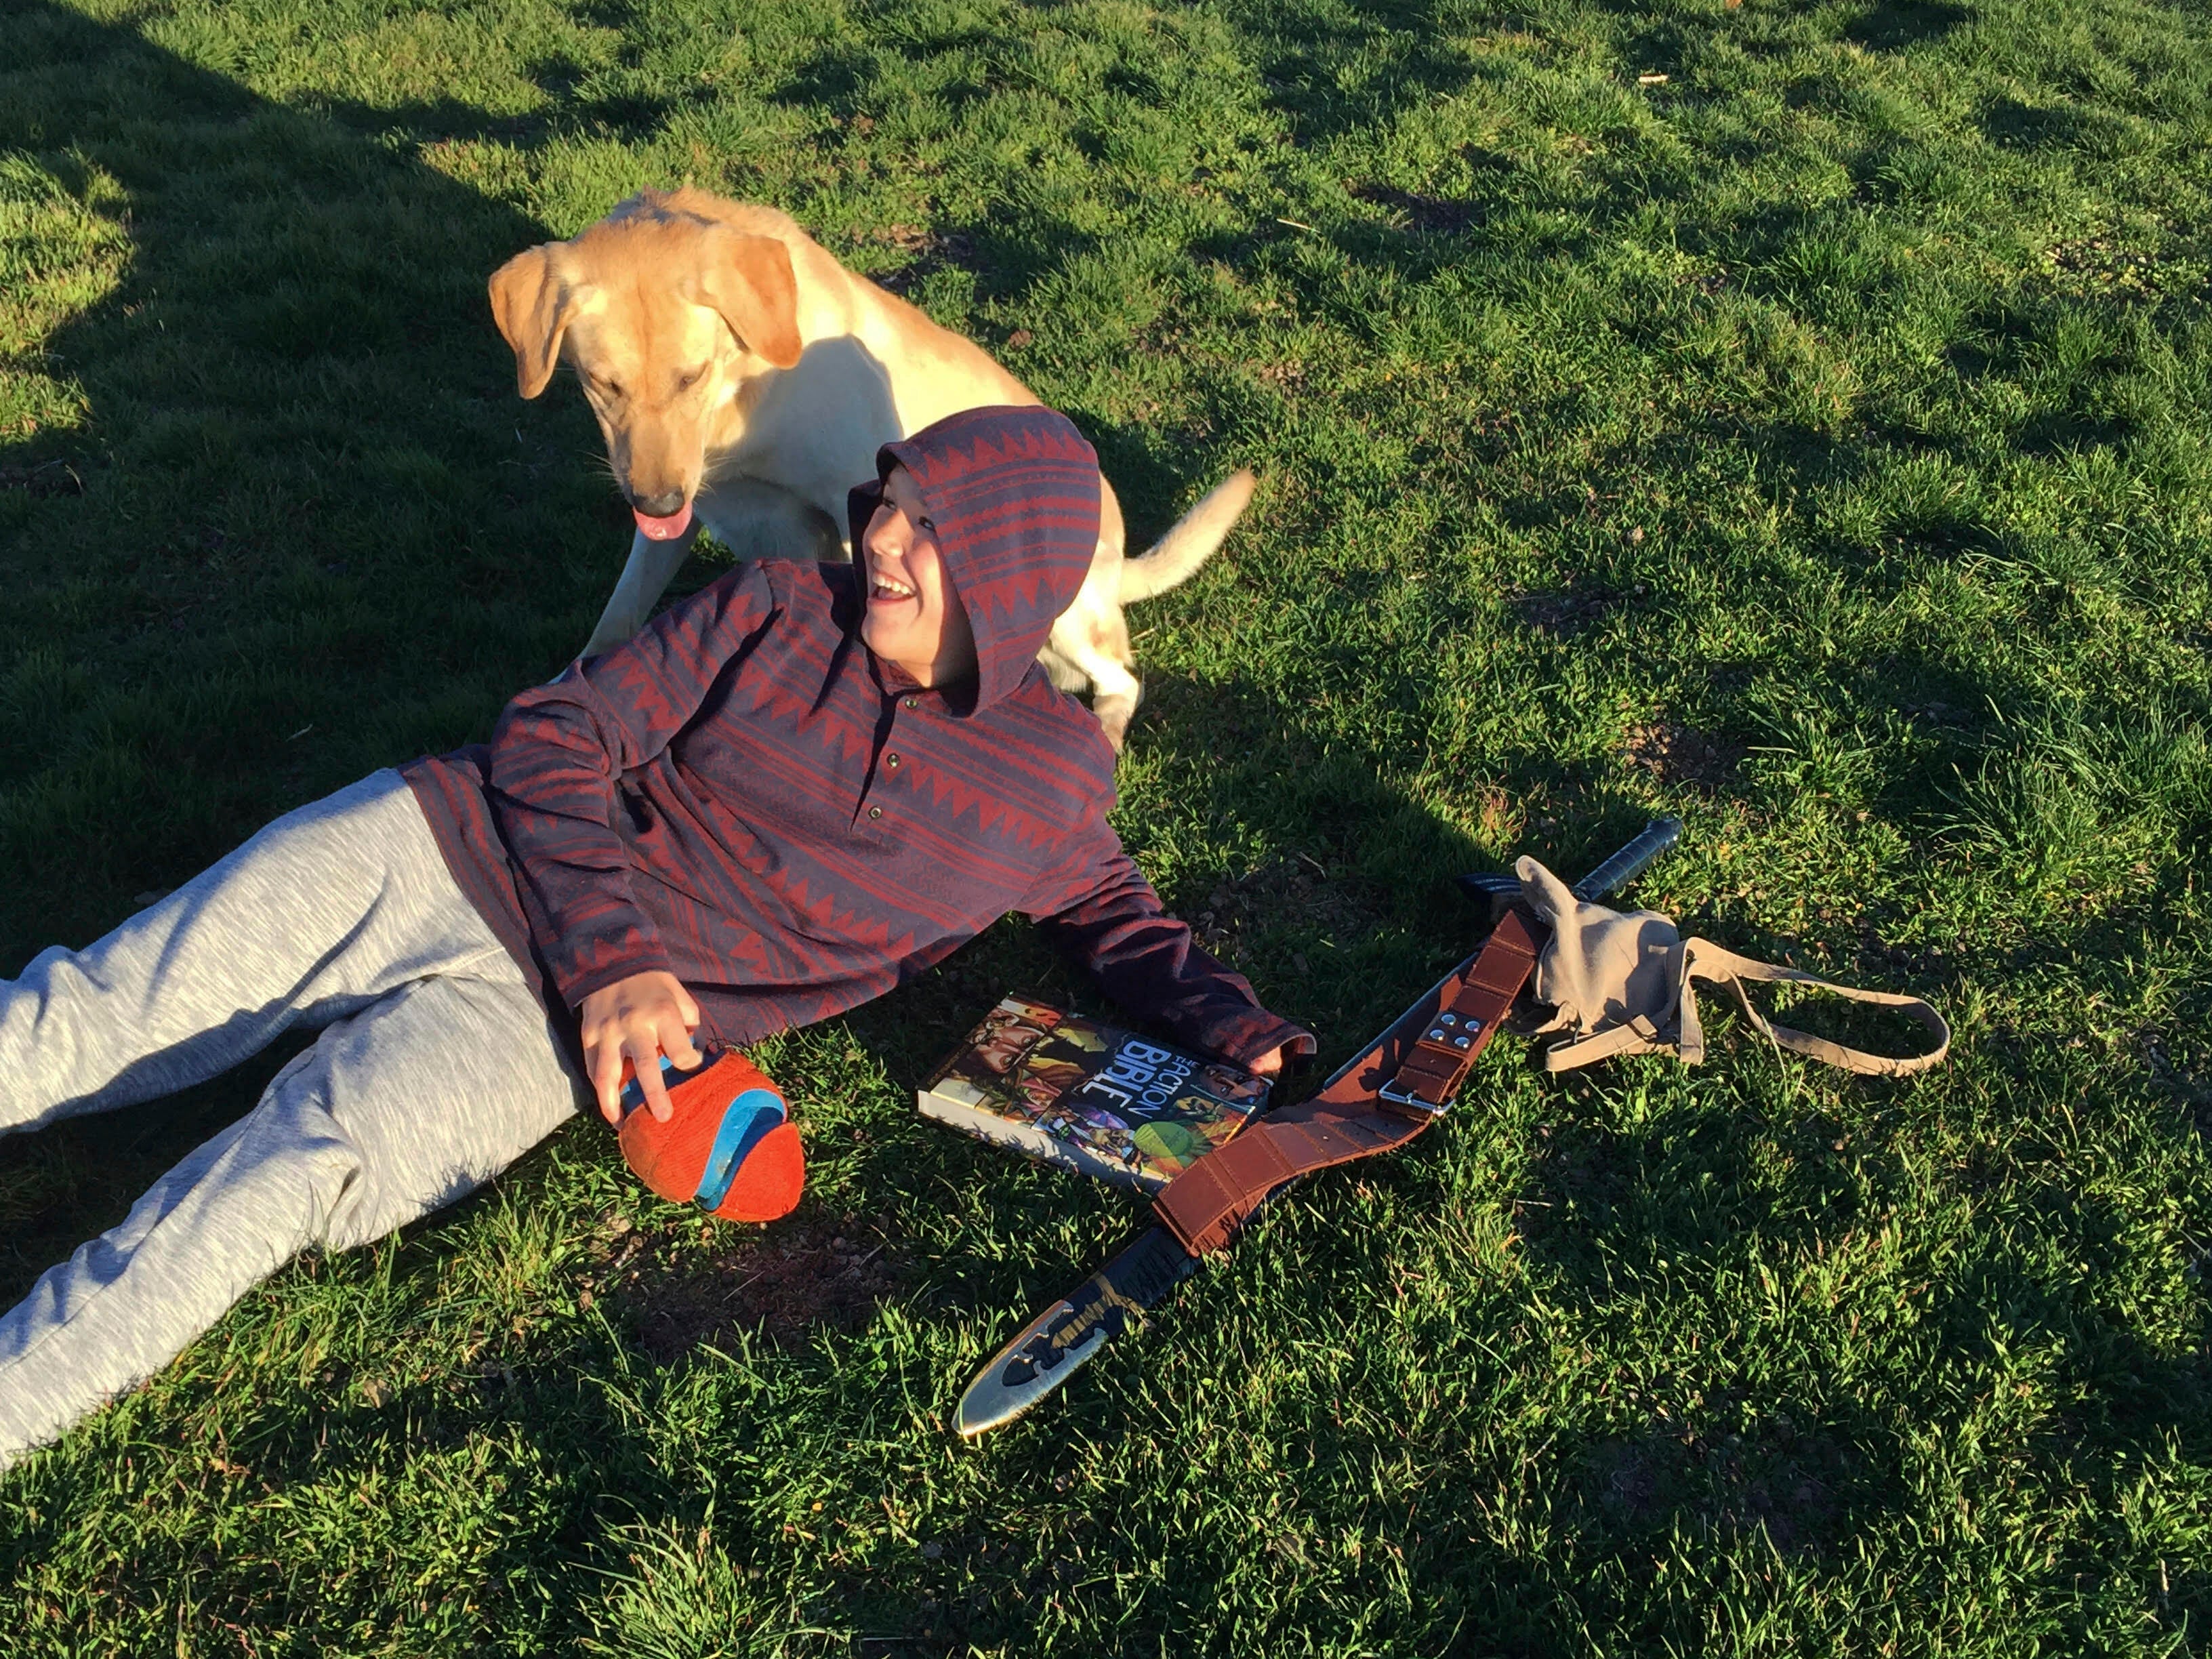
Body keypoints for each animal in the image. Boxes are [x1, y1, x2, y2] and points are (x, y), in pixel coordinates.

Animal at [491, 186, 1256, 747]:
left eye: (692, 375)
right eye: (602, 384)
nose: (654, 503)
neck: (743, 404)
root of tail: (1119, 566)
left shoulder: (857, 508)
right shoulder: (677, 513)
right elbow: (617, 620)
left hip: (1056, 608)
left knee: (1122, 679)